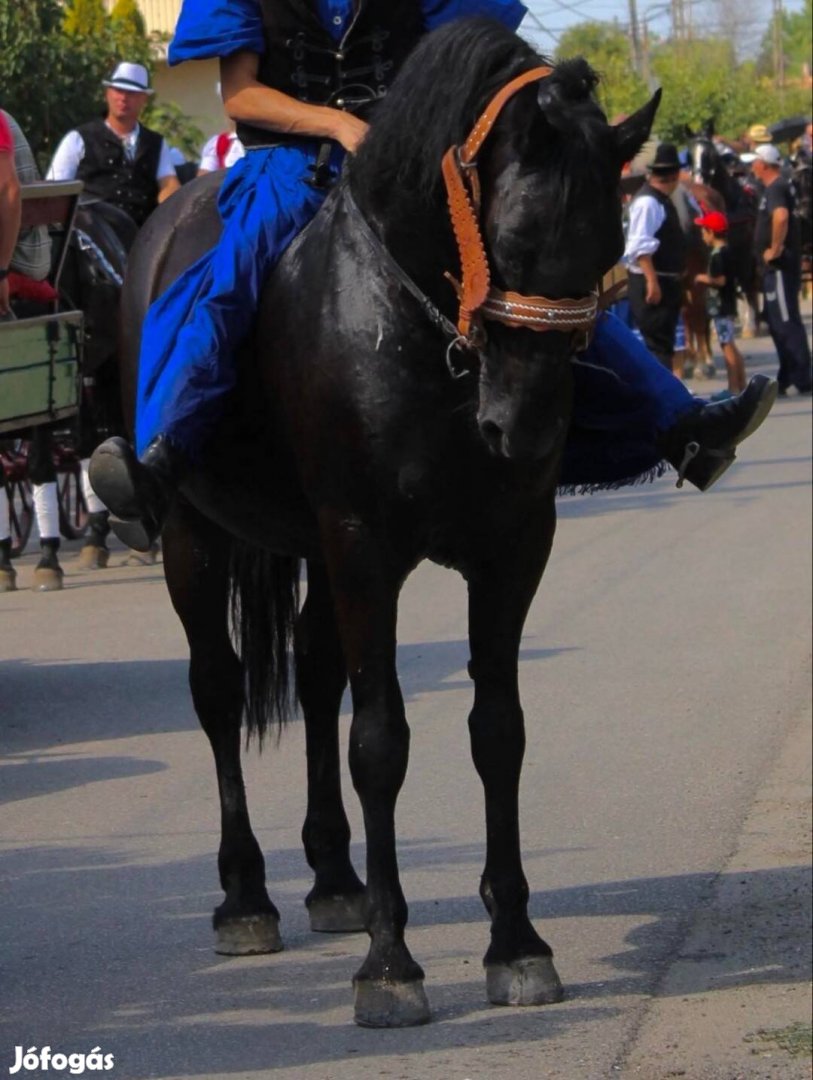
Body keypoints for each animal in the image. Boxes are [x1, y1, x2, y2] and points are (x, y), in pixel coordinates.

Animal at [117, 21, 656, 1023]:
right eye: (512, 236)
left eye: (609, 240)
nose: (525, 430)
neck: (424, 335)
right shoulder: (364, 547)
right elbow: (380, 741)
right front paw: (391, 963)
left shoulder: (510, 549)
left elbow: (496, 731)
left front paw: (515, 943)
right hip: (193, 536)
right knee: (218, 689)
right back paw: (246, 897)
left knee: (314, 673)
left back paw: (336, 879)